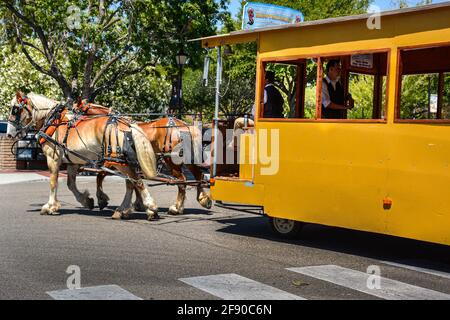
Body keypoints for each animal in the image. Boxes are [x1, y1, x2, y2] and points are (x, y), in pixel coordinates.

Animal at [6, 92, 160, 220]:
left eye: (15, 109)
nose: (9, 134)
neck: (53, 122)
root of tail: (127, 124)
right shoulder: (72, 162)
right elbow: (70, 184)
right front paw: (86, 201)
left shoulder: (53, 158)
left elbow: (53, 182)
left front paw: (49, 207)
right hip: (121, 161)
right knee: (131, 182)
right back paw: (123, 210)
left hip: (118, 161)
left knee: (136, 181)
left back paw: (149, 207)